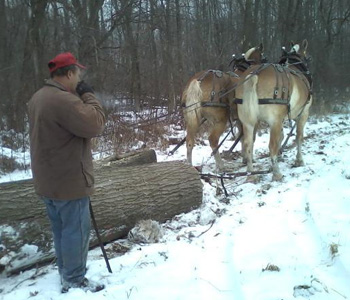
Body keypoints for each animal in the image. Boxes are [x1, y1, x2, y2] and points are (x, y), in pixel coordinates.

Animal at [238, 39, 312, 180]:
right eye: (307, 57)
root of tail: (253, 75)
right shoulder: (303, 113)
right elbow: (299, 137)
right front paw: (299, 160)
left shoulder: (281, 119)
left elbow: (281, 137)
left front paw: (280, 156)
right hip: (274, 121)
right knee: (271, 146)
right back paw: (277, 173)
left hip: (248, 122)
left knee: (248, 144)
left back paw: (251, 174)